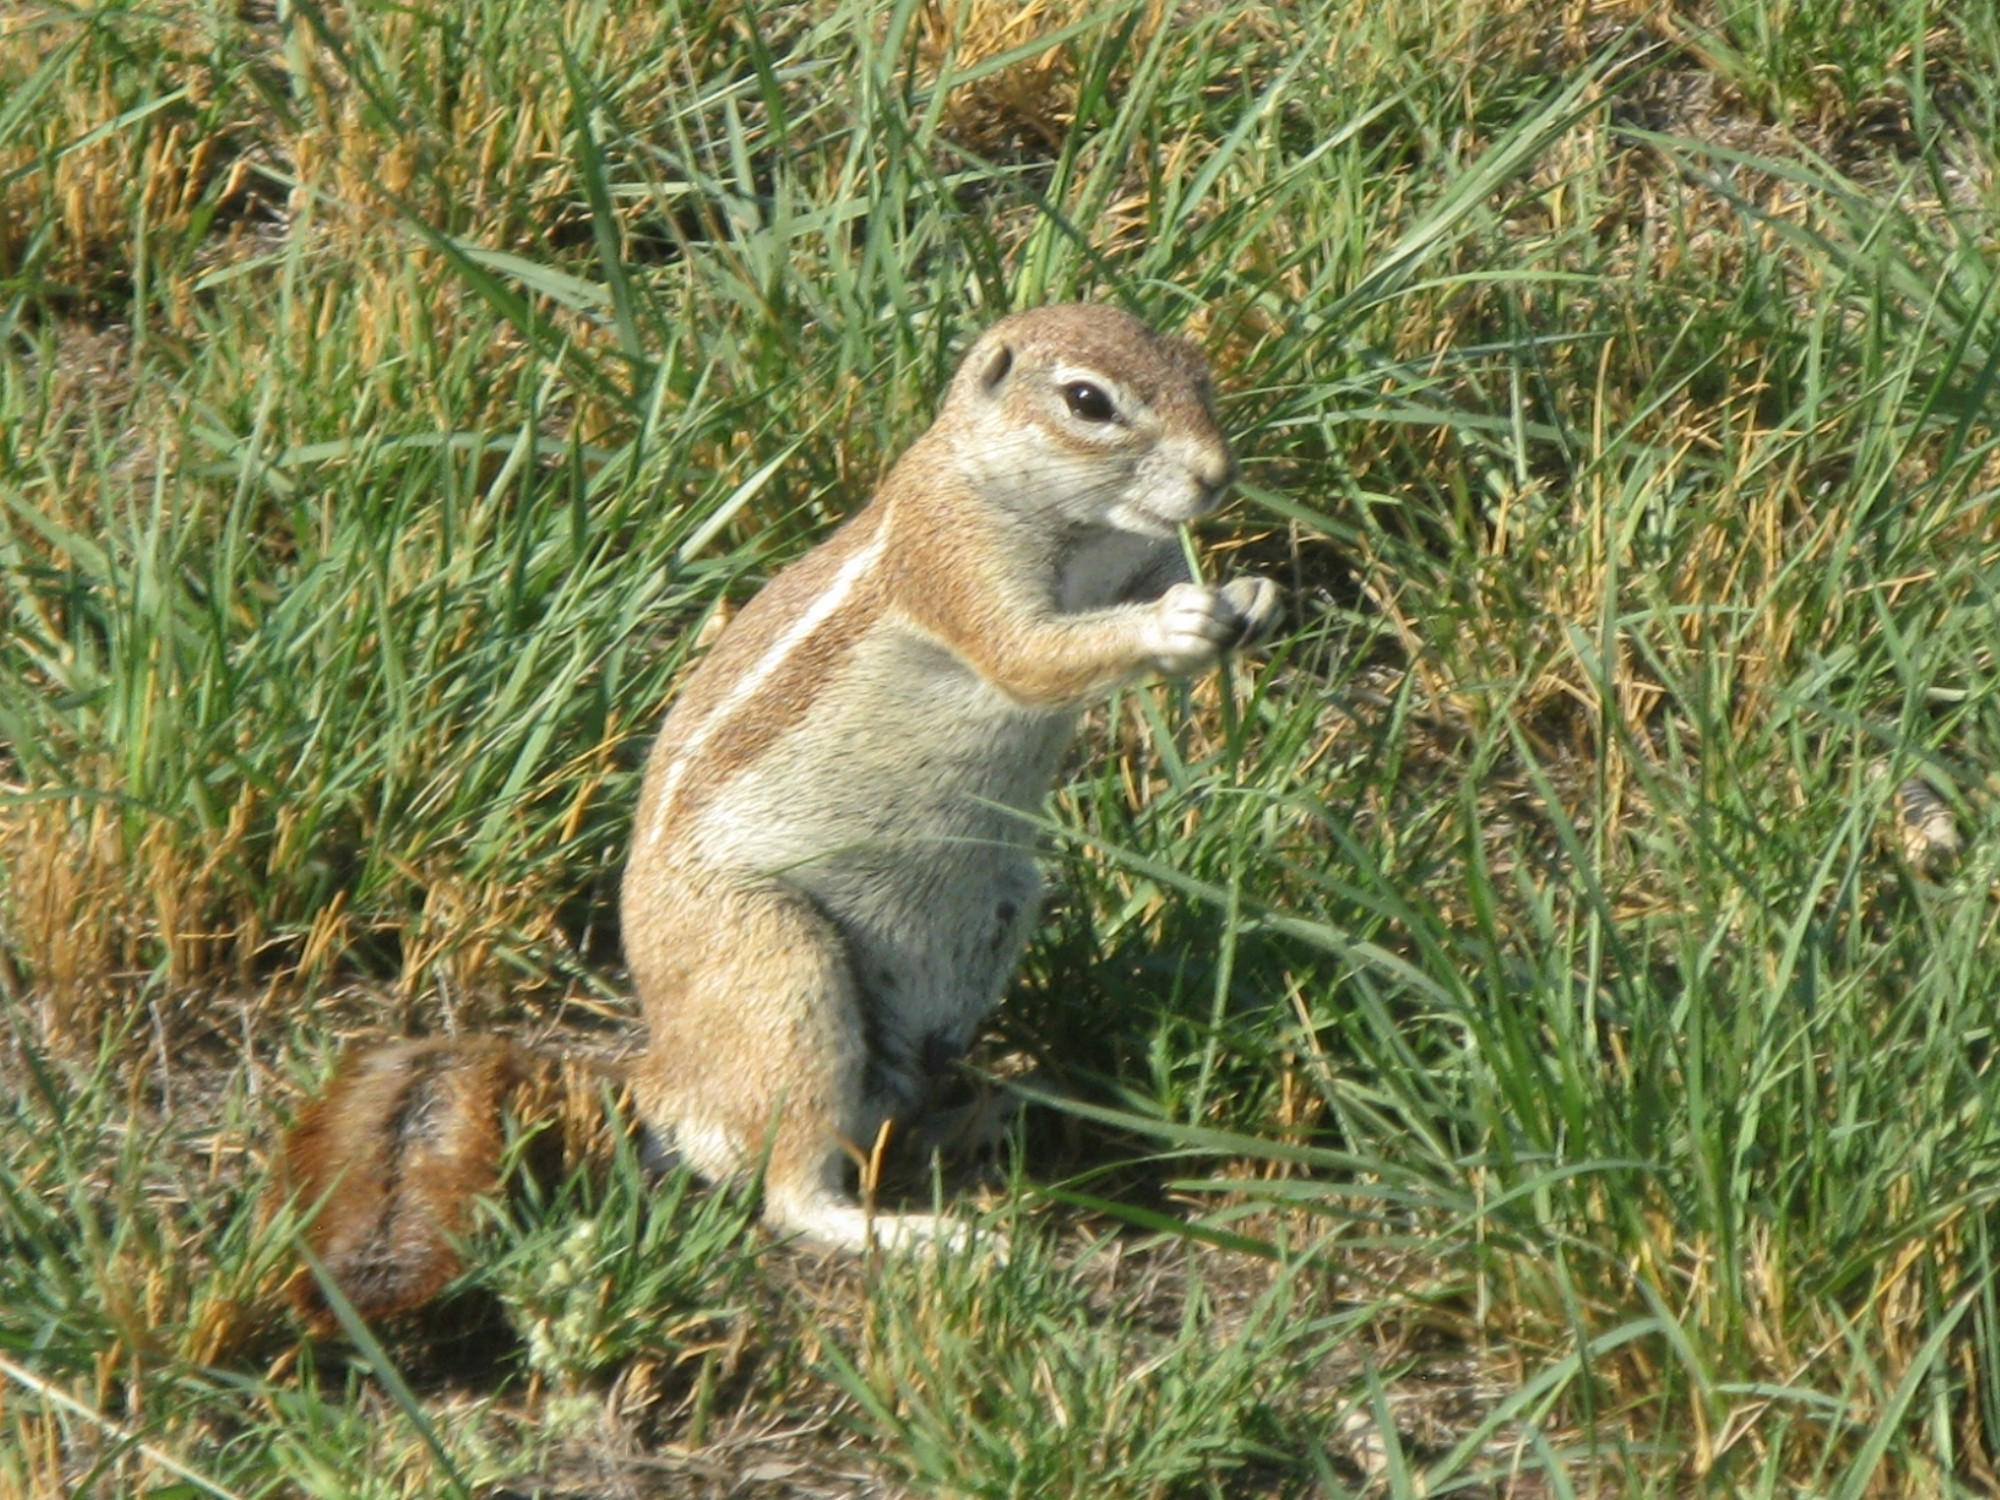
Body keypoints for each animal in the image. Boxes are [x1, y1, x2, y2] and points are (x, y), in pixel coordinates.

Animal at [274, 306, 1280, 1328]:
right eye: (1087, 401)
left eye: (1196, 366)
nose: (1219, 474)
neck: (1080, 523)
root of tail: (665, 1075)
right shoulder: (951, 558)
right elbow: (1029, 654)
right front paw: (1175, 626)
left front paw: (1255, 599)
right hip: (780, 968)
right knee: (792, 1190)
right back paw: (930, 1234)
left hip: (990, 918)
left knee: (888, 1120)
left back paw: (1000, 1111)